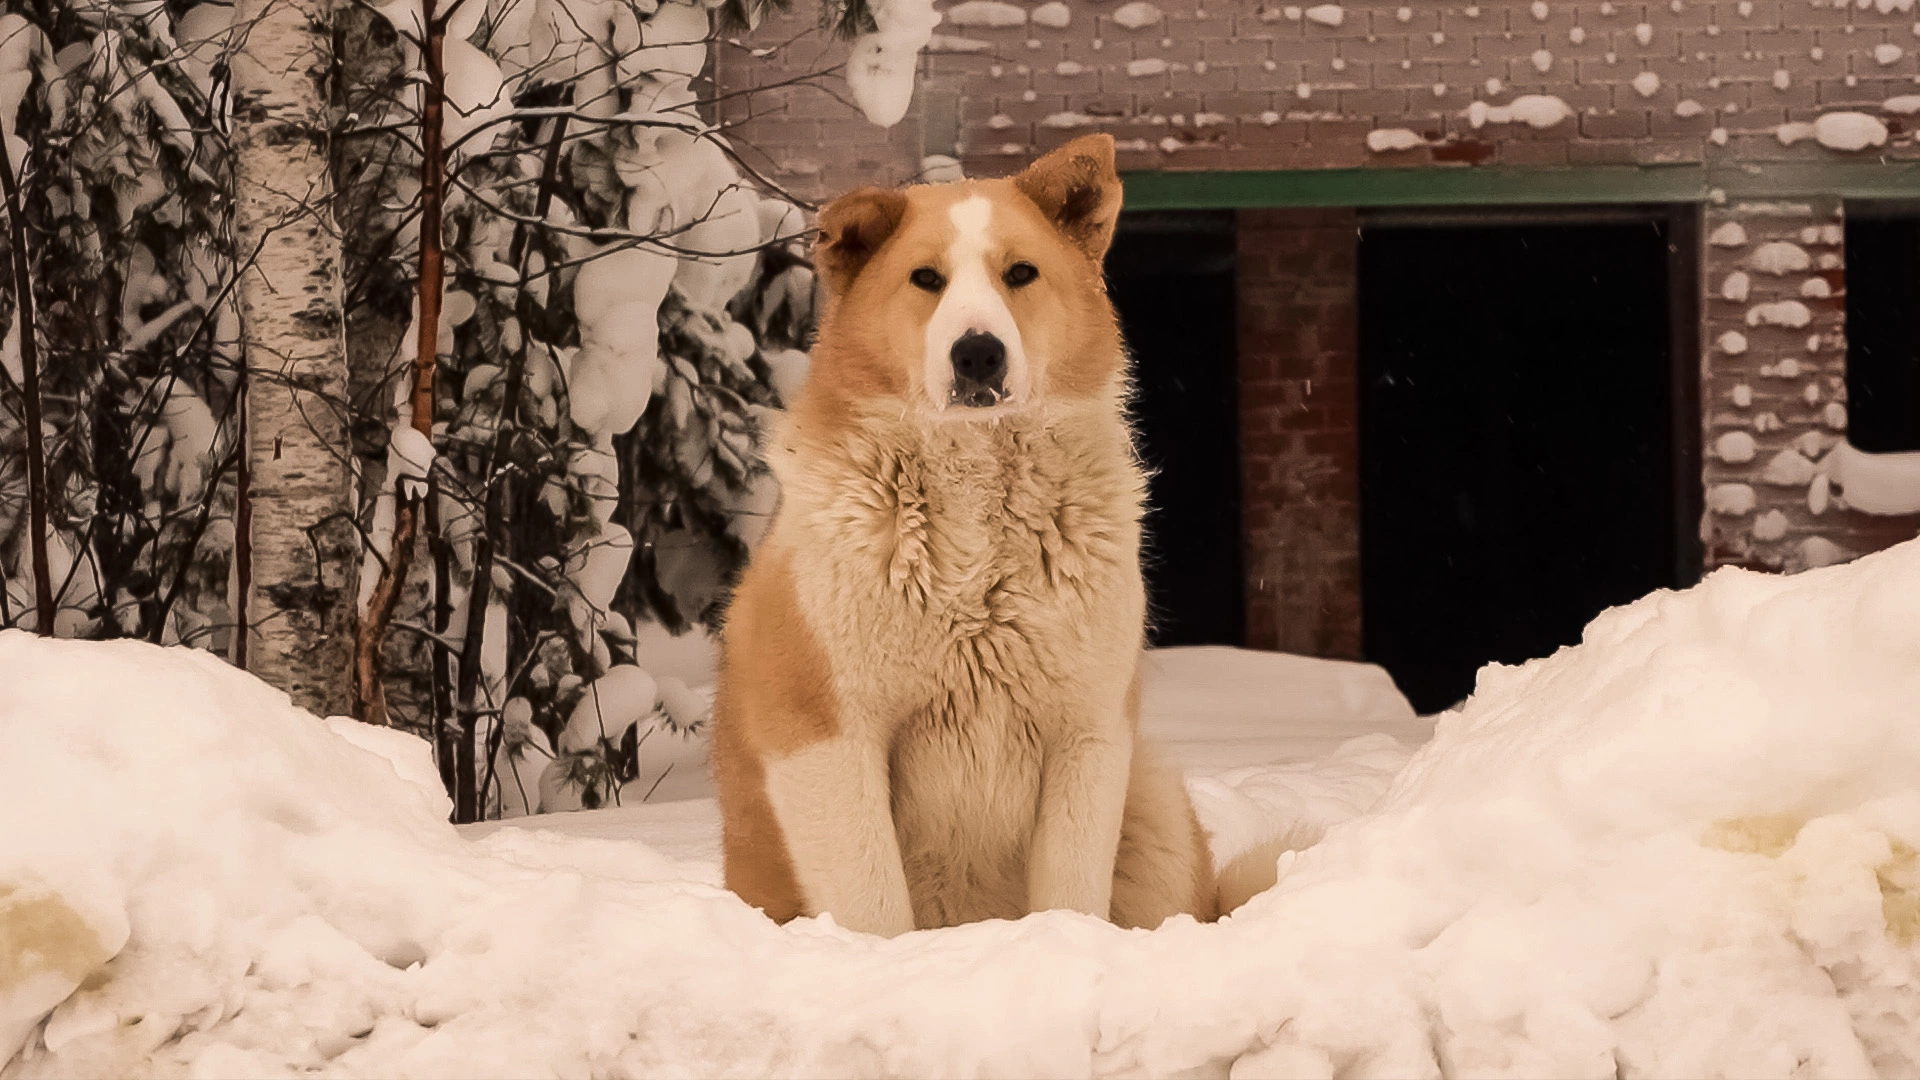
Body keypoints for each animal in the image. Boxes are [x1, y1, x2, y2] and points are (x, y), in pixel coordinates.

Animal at [714, 132, 1282, 933]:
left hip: (1154, 809)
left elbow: (1070, 895)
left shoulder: (1085, 732)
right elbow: (875, 908)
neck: (975, 504)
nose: (978, 353)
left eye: (1021, 273)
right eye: (925, 279)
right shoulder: (825, 735)